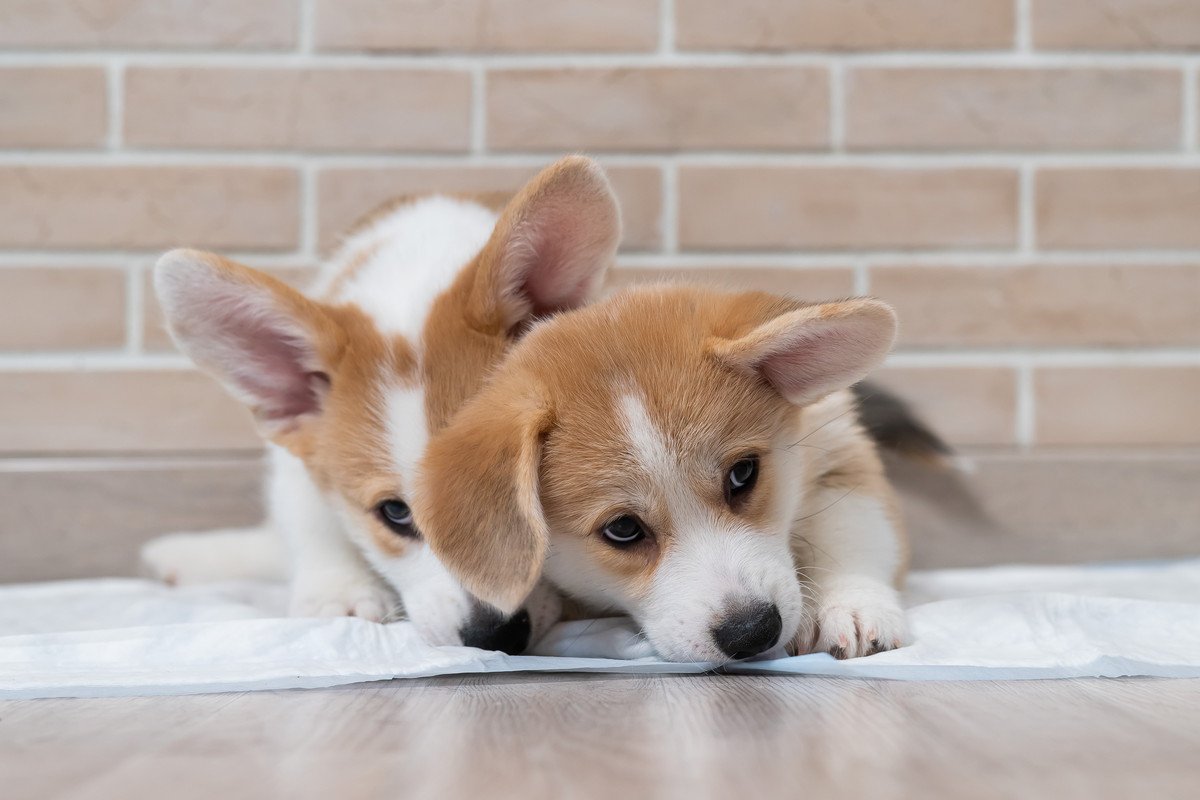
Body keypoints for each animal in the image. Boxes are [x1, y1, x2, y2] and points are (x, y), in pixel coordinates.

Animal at [417, 287, 912, 662]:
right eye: (622, 529)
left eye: (743, 474)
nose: (752, 631)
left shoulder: (838, 449)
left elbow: (851, 532)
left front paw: (850, 605)